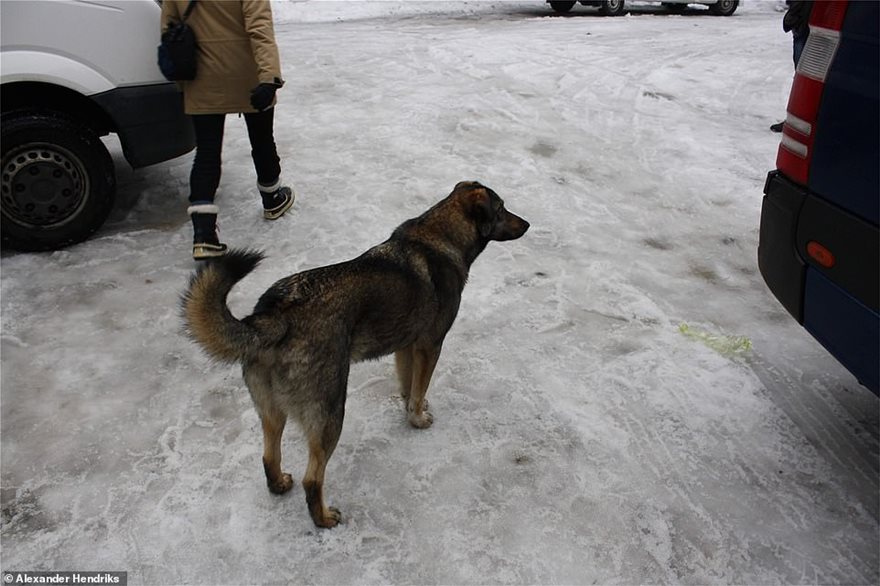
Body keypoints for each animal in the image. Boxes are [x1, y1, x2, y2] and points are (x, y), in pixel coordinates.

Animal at [180, 179, 528, 524]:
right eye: (501, 208)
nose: (527, 224)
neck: (441, 235)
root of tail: (273, 316)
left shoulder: (406, 347)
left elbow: (410, 386)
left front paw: (410, 408)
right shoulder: (430, 345)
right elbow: (419, 388)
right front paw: (418, 418)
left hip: (271, 409)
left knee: (268, 455)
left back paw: (278, 485)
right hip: (330, 411)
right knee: (312, 478)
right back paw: (323, 518)